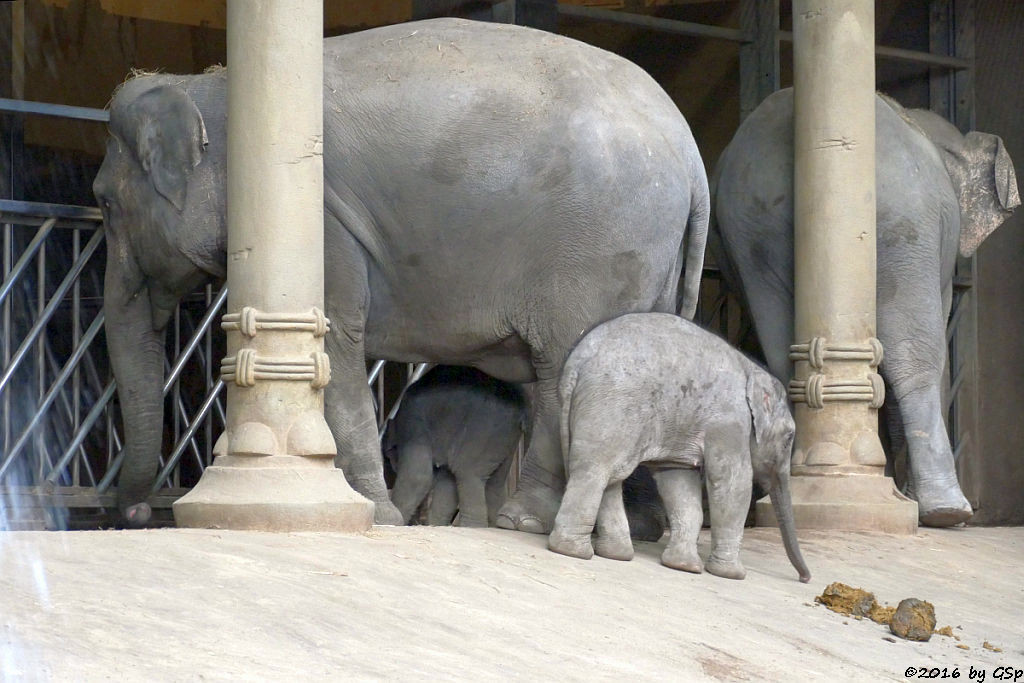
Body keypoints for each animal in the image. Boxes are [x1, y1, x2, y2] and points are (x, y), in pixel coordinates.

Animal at [385, 366, 528, 528]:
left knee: (467, 472)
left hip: (484, 429)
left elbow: (418, 476)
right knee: (495, 483)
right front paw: (437, 525)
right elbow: (446, 481)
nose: (416, 521)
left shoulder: (413, 423)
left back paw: (472, 527)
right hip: (507, 437)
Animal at [548, 313, 811, 585]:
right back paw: (573, 550)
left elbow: (678, 482)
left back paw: (616, 554)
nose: (805, 579)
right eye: (789, 437)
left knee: (611, 477)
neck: (753, 369)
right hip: (612, 406)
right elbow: (731, 482)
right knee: (596, 471)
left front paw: (684, 566)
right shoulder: (729, 421)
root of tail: (575, 365)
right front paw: (732, 575)